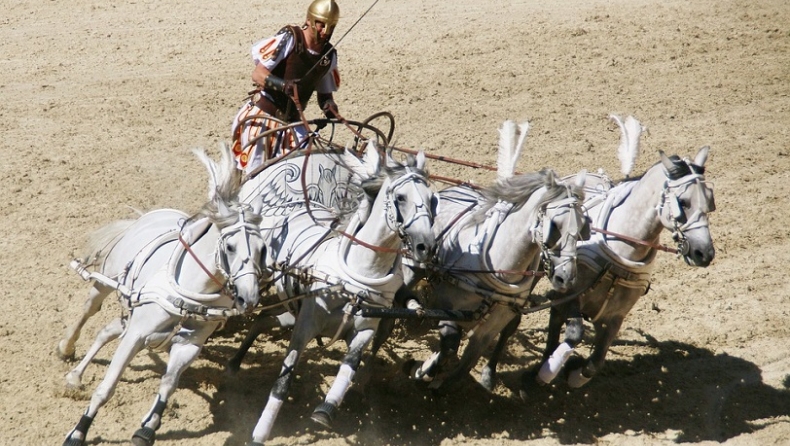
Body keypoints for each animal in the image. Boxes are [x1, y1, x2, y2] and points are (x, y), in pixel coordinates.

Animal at [59, 144, 270, 446]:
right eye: (230, 247)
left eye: (263, 248)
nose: (248, 298)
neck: (193, 292)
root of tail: (148, 216)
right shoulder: (136, 336)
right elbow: (106, 387)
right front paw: (78, 432)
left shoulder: (190, 342)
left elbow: (169, 384)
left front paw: (147, 429)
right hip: (106, 283)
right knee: (89, 310)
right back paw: (66, 349)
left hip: (132, 311)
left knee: (107, 330)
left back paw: (76, 375)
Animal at [244, 145, 436, 444]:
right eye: (401, 197)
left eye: (432, 199)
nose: (425, 246)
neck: (356, 279)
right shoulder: (306, 325)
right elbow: (284, 378)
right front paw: (260, 432)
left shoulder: (366, 328)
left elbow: (350, 364)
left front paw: (326, 409)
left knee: (264, 320)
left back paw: (234, 363)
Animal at [524, 114, 720, 394]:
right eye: (683, 203)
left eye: (710, 200)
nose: (704, 252)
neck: (619, 250)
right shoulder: (570, 295)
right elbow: (574, 331)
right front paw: (547, 372)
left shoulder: (616, 316)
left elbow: (596, 360)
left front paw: (574, 374)